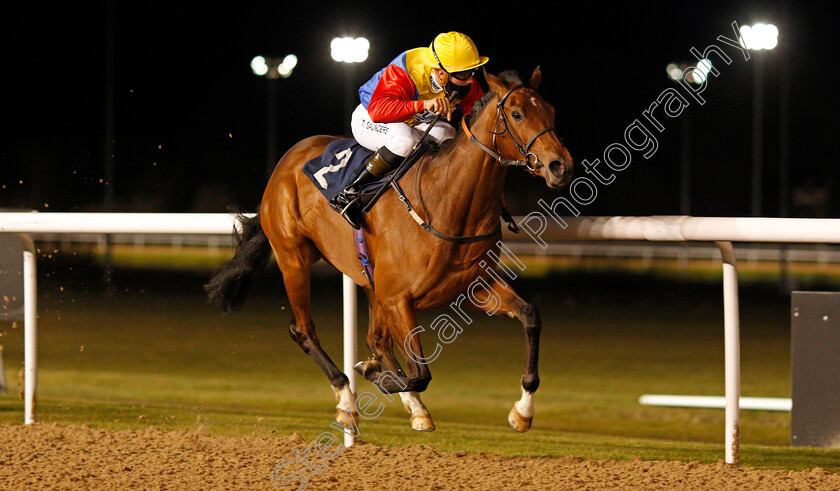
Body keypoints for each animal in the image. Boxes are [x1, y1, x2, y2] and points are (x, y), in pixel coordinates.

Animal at [205, 69, 572, 434]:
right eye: (517, 114)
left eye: (552, 111)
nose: (560, 165)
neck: (447, 202)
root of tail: (286, 162)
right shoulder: (398, 297)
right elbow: (420, 373)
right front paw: (374, 376)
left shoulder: (471, 287)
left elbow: (530, 317)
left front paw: (522, 411)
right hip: (293, 259)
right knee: (304, 331)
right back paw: (346, 399)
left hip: (369, 280)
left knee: (377, 340)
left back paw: (407, 403)